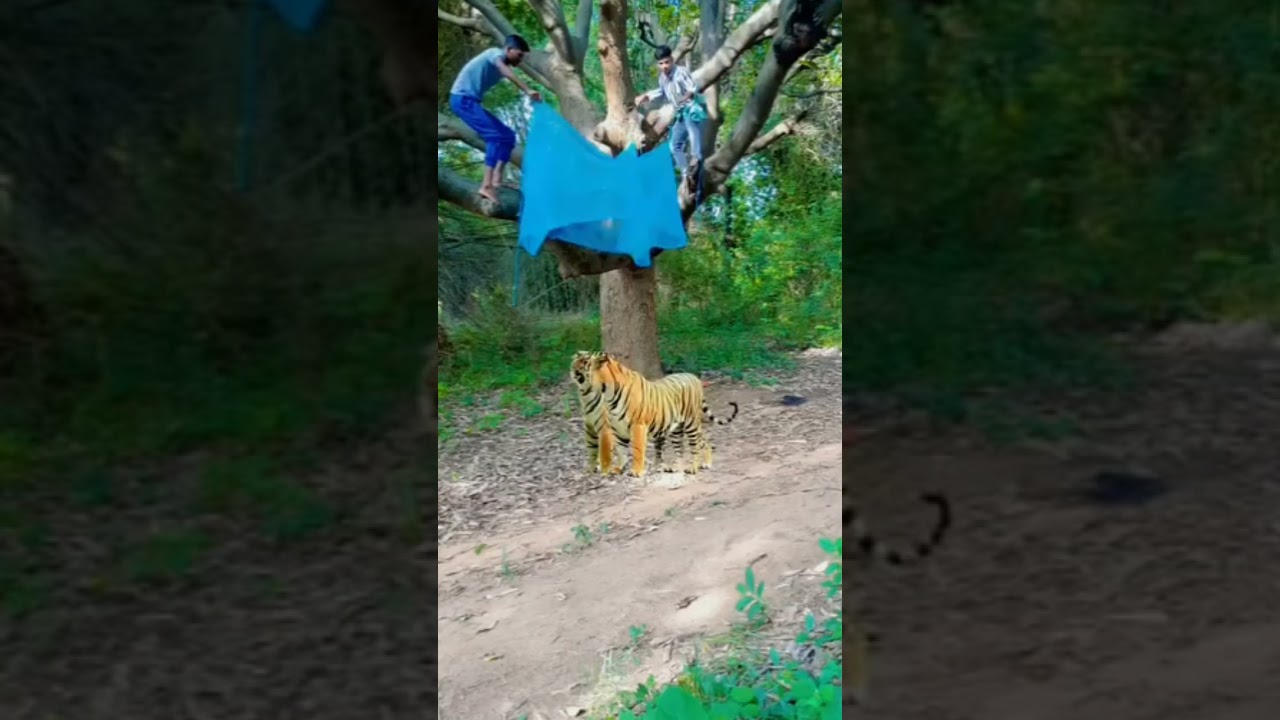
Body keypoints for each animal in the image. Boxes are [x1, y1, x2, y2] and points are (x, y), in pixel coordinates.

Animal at [585, 352, 738, 477]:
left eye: (587, 369)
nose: (582, 381)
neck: (609, 393)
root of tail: (693, 376)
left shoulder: (638, 425)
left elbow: (637, 450)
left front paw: (636, 471)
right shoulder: (618, 429)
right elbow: (621, 450)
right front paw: (618, 469)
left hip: (691, 423)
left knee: (695, 445)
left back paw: (694, 467)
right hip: (676, 429)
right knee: (686, 447)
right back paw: (684, 466)